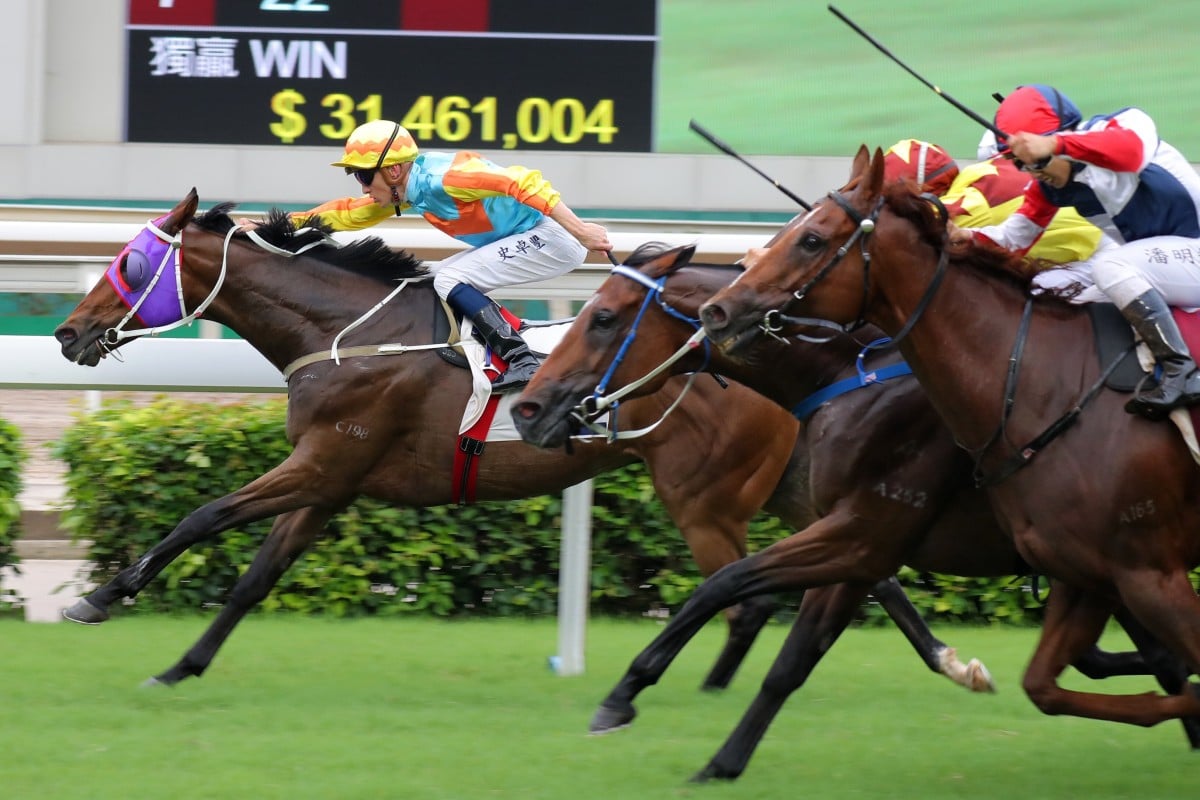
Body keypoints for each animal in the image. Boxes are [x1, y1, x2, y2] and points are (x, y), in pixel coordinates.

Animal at [51, 189, 979, 695]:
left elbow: (201, 517)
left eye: (130, 266)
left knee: (750, 595)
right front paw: (179, 667)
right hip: (784, 488)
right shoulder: (332, 481)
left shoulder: (321, 461)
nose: (67, 332)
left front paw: (100, 595)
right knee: (860, 572)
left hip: (702, 499)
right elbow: (254, 580)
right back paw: (951, 660)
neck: (347, 334)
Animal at [511, 244, 1195, 782]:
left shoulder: (864, 528)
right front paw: (721, 764)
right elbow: (790, 661)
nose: (526, 408)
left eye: (602, 318)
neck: (852, 373)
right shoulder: (855, 541)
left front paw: (622, 697)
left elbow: (723, 585)